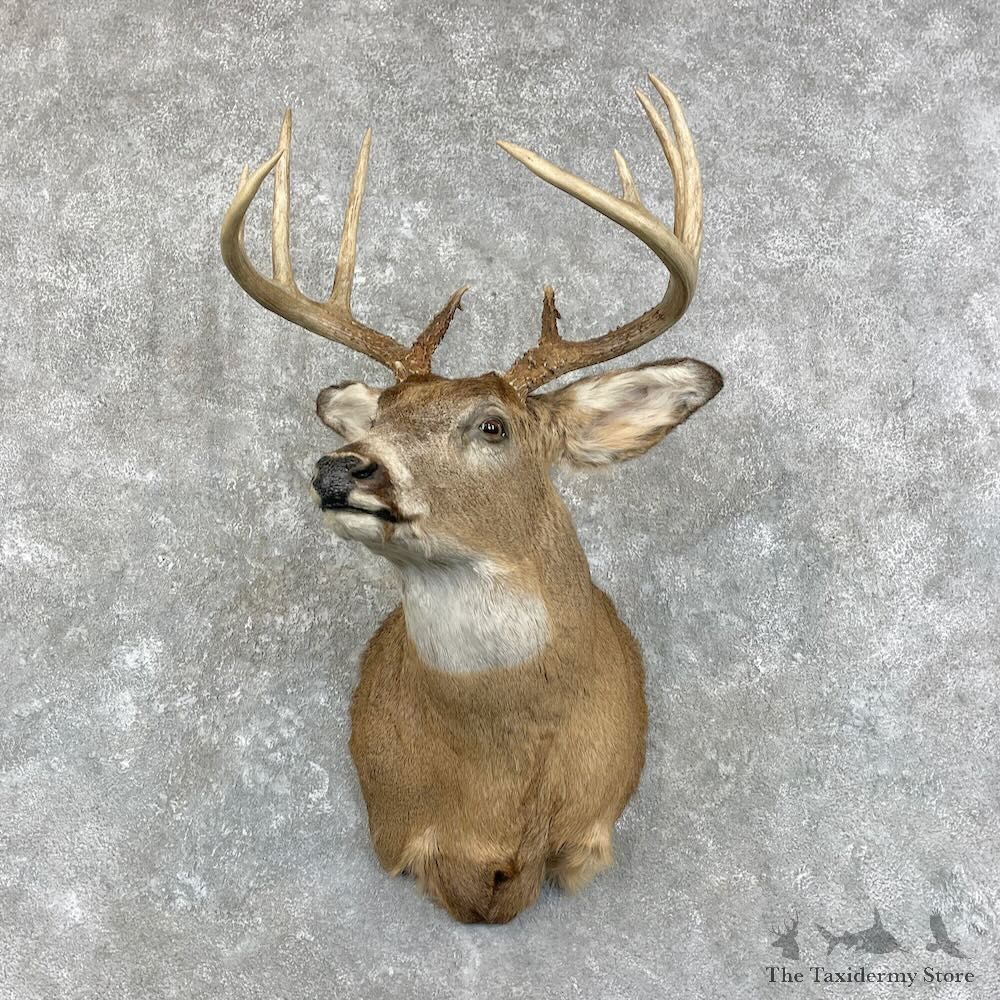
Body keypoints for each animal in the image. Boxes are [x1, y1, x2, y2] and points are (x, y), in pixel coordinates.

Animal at [220, 74, 722, 923]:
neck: (500, 791)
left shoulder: (592, 828)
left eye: (493, 425)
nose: (340, 469)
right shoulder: (396, 822)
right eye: (379, 415)